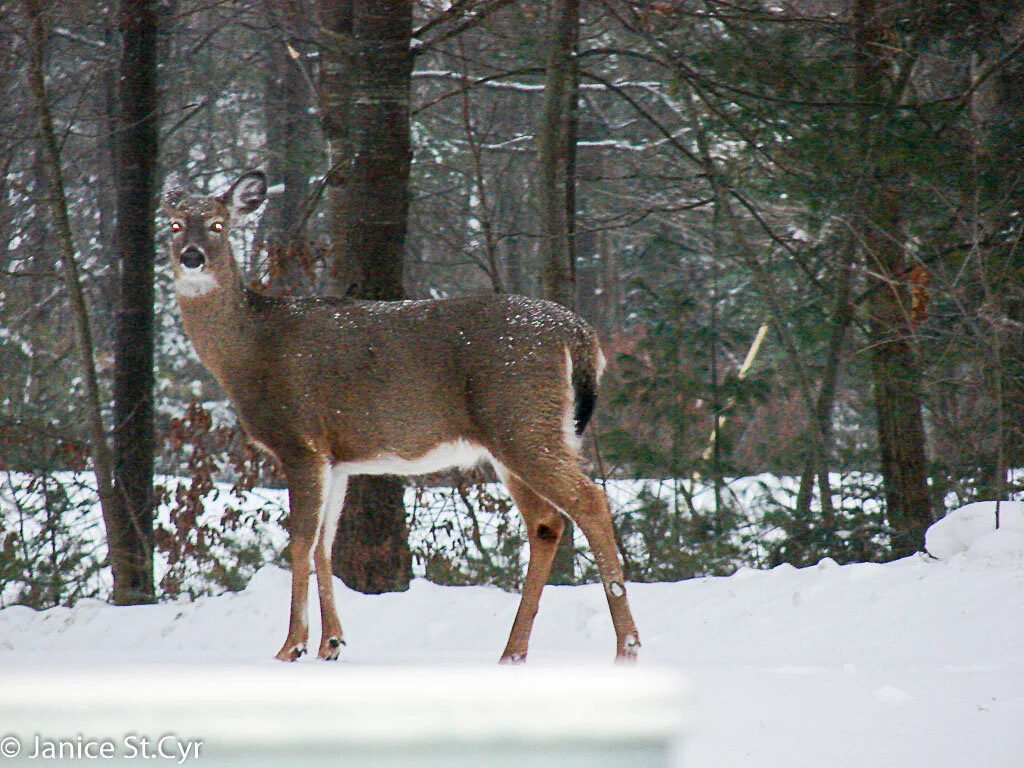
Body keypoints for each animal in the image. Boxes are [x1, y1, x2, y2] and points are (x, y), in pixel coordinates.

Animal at [162, 170, 640, 664]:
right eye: (174, 224)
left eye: (217, 225)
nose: (192, 256)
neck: (249, 350)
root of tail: (580, 335)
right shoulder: (336, 456)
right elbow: (325, 545)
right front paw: (332, 643)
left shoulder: (300, 441)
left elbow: (300, 542)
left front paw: (291, 646)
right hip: (520, 435)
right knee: (546, 522)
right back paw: (513, 651)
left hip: (523, 421)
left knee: (589, 501)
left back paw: (626, 645)